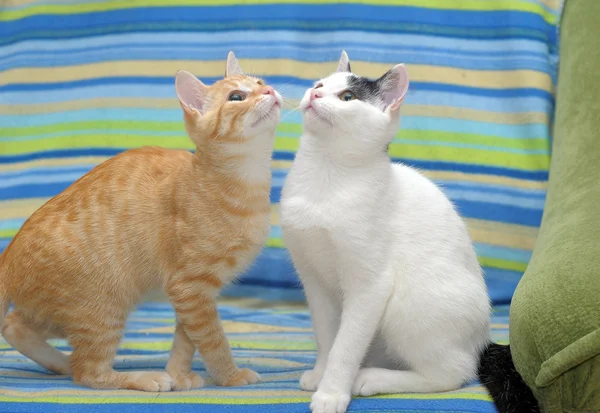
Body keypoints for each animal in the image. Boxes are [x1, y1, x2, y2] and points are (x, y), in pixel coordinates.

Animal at [0, 53, 282, 392]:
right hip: (102, 306)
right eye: (237, 97)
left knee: (14, 325)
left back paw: (60, 362)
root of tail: (8, 255)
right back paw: (139, 377)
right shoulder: (190, 286)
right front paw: (229, 376)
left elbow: (187, 338)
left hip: (51, 312)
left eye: (260, 82)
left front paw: (179, 375)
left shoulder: (193, 293)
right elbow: (212, 338)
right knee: (89, 372)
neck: (243, 182)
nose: (270, 91)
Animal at [282, 52, 492, 412]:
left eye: (347, 97)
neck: (326, 176)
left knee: (454, 373)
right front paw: (320, 374)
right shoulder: (313, 279)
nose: (315, 94)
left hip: (408, 306)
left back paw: (371, 378)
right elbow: (326, 335)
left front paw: (331, 392)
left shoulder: (370, 286)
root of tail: (482, 337)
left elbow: (345, 346)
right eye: (320, 84)